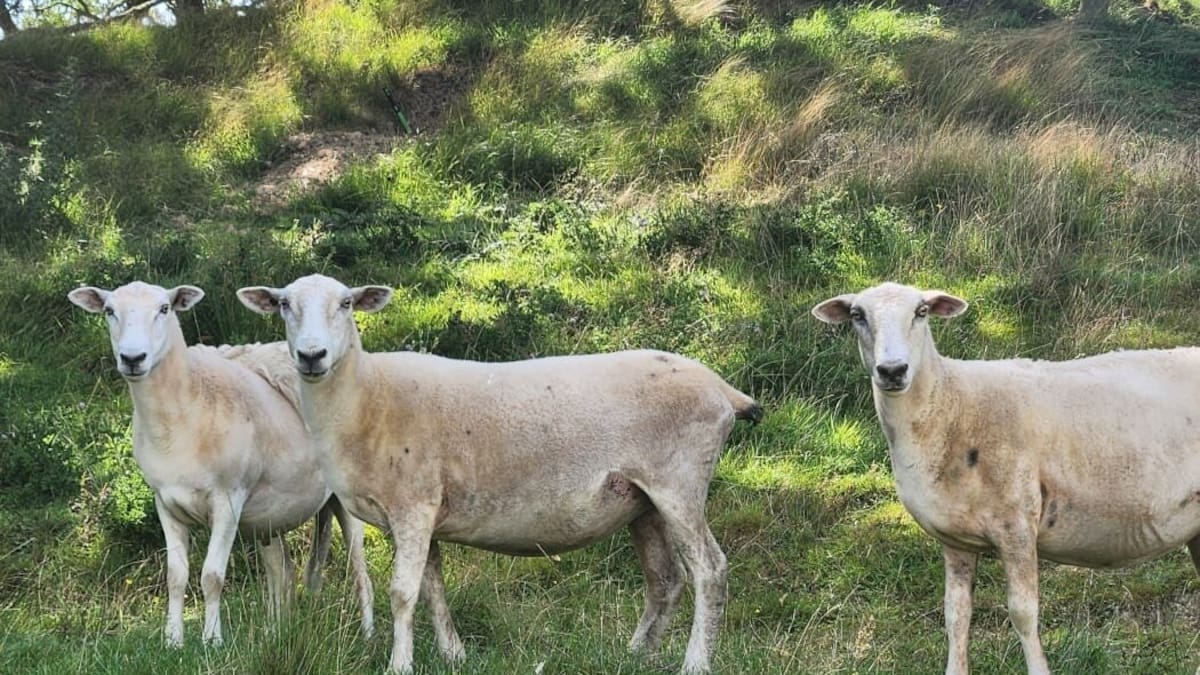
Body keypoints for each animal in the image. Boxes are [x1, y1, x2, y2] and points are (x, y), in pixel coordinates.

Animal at [68, 281, 375, 647]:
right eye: (109, 311)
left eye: (164, 309)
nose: (132, 358)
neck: (180, 416)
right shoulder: (165, 503)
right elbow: (175, 576)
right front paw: (173, 640)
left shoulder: (228, 499)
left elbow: (211, 575)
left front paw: (212, 641)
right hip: (271, 514)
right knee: (281, 573)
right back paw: (276, 635)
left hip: (344, 498)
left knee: (361, 572)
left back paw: (369, 635)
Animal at [236, 273, 762, 674]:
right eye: (284, 304)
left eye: (346, 303)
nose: (311, 356)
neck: (366, 398)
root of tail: (723, 390)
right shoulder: (430, 511)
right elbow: (433, 587)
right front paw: (454, 655)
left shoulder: (413, 505)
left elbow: (403, 593)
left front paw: (400, 664)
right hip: (641, 500)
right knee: (665, 578)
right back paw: (635, 655)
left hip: (680, 483)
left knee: (709, 570)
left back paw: (694, 662)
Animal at [812, 281, 1200, 675]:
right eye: (858, 315)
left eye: (921, 312)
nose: (892, 370)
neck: (949, 405)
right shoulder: (956, 540)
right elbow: (955, 616)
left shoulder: (1017, 525)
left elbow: (1023, 614)